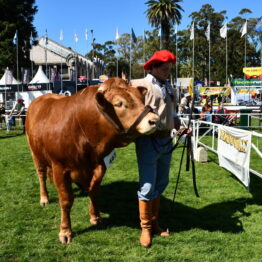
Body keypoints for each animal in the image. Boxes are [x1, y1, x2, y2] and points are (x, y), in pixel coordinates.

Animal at [25, 77, 159, 244]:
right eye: (119, 104)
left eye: (141, 99)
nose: (154, 120)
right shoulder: (59, 168)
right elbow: (66, 200)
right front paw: (65, 231)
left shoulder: (99, 164)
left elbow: (94, 191)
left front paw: (95, 216)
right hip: (35, 154)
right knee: (41, 175)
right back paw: (44, 198)